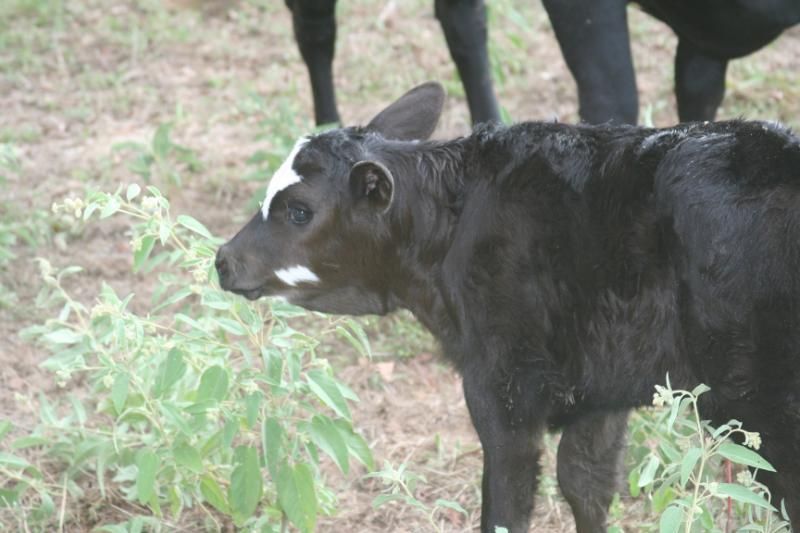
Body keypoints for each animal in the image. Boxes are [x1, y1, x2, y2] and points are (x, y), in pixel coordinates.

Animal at [216, 82, 800, 532]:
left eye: (298, 210)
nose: (223, 259)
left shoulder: (503, 385)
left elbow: (506, 505)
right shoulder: (602, 388)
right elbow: (585, 484)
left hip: (766, 408)